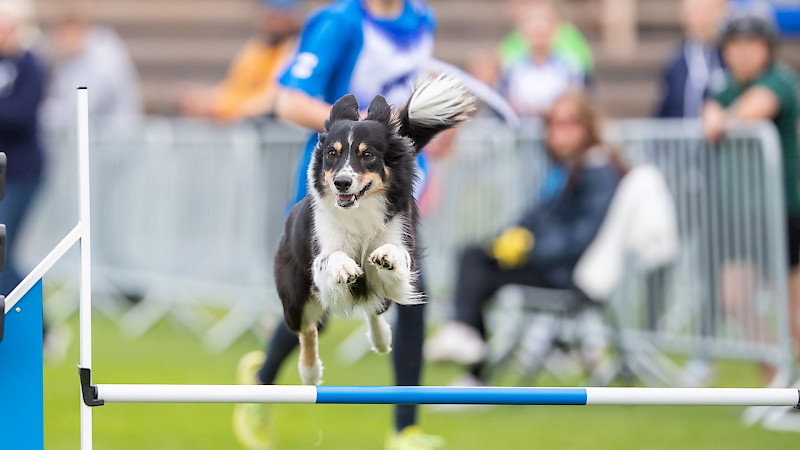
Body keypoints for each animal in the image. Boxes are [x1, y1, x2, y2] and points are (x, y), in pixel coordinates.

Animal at [276, 76, 476, 384]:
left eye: (367, 154)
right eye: (332, 154)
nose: (342, 183)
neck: (359, 209)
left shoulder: (402, 243)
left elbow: (394, 257)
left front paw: (386, 256)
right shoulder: (321, 262)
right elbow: (331, 259)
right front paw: (346, 267)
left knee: (375, 305)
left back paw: (382, 339)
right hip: (295, 297)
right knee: (307, 329)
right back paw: (309, 373)